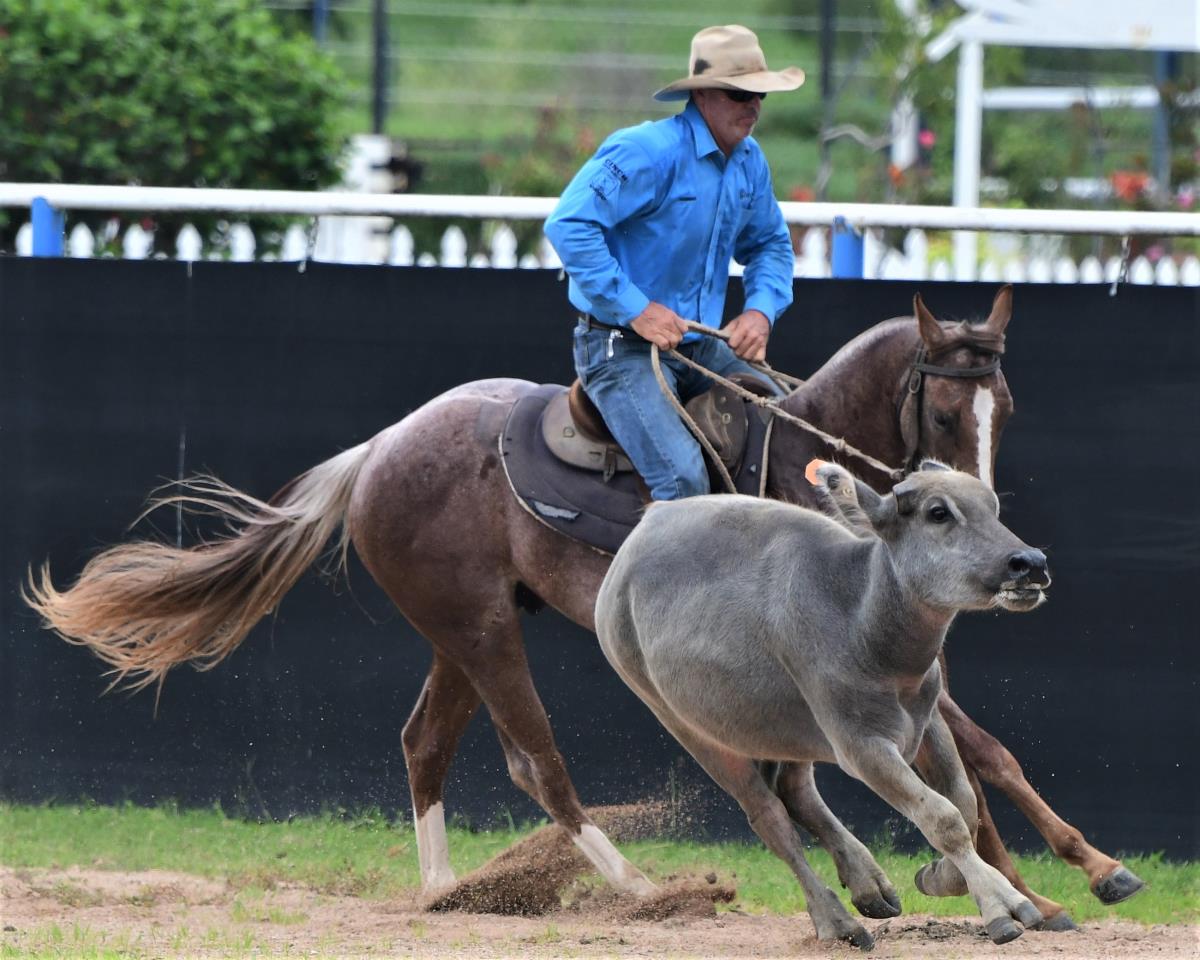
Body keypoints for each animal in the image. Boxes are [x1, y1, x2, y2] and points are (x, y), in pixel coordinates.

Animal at [594, 461, 1051, 949]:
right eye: (938, 512)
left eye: (992, 507)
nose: (1030, 563)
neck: (862, 620)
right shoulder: (861, 746)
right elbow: (941, 815)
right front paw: (1001, 904)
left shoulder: (929, 722)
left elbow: (964, 805)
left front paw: (940, 878)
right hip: (691, 728)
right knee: (770, 819)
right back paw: (836, 920)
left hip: (786, 727)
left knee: (797, 793)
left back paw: (869, 883)